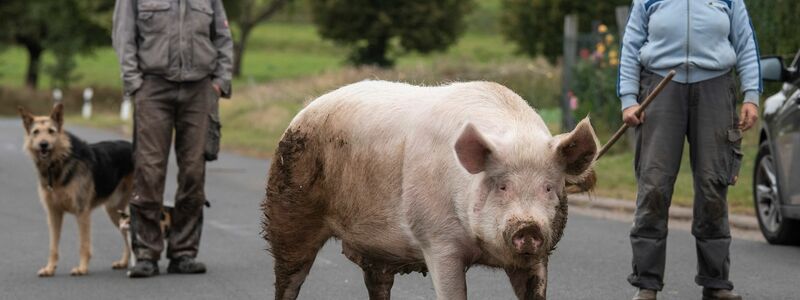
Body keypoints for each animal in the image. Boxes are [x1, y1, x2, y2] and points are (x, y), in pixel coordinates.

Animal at [18, 103, 134, 276]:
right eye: (36, 132)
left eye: (51, 131)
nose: (43, 144)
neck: (58, 163)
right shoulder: (53, 214)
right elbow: (53, 246)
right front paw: (49, 268)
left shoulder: (82, 212)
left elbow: (83, 244)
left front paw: (82, 268)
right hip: (114, 210)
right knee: (127, 235)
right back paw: (124, 262)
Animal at [260, 80, 596, 300]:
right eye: (502, 185)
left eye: (549, 187)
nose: (528, 227)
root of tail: (304, 111)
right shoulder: (437, 240)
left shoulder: (540, 256)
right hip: (288, 209)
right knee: (288, 275)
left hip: (376, 249)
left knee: (377, 282)